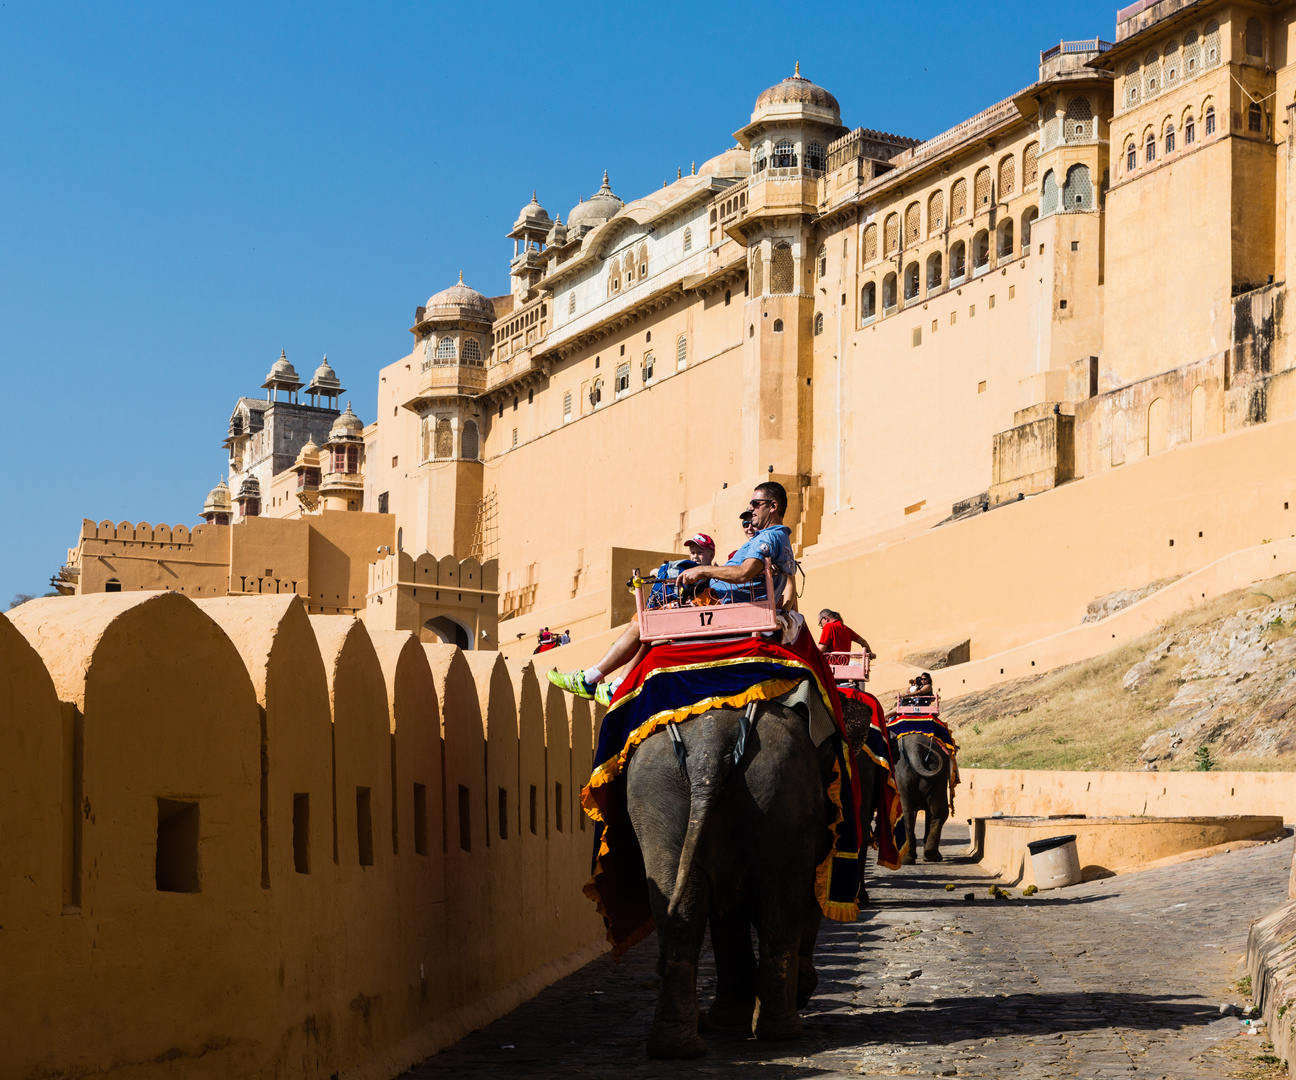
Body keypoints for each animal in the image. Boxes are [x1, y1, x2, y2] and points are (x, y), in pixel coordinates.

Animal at [619, 694, 881, 1057]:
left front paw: (730, 1019)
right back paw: (782, 1031)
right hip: (779, 788)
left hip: (658, 793)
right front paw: (798, 990)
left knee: (681, 905)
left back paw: (677, 1047)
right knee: (780, 907)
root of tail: (710, 743)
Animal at [891, 731, 953, 866]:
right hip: (936, 776)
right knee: (940, 812)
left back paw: (909, 859)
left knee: (907, 813)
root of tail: (915, 748)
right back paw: (931, 857)